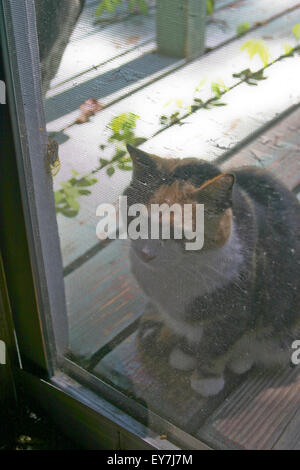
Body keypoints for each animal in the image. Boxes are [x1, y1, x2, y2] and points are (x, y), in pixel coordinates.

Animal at [125, 143, 300, 396]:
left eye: (180, 231)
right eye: (138, 219)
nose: (146, 253)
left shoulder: (236, 311)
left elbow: (217, 346)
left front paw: (206, 380)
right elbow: (192, 334)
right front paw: (185, 355)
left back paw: (241, 361)